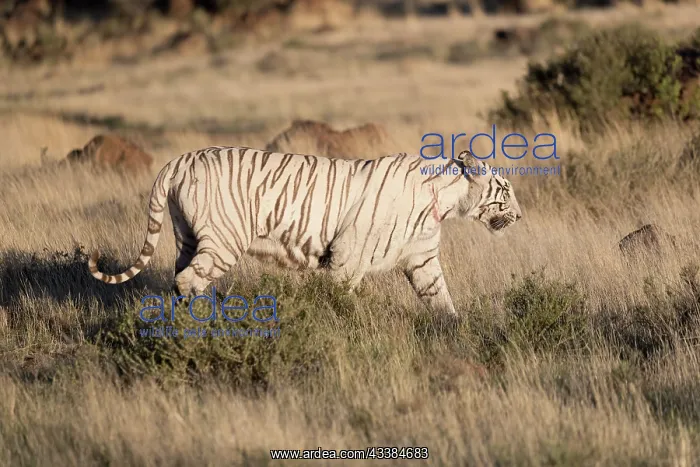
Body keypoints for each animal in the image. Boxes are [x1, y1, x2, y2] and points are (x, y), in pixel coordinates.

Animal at [88, 147, 522, 317]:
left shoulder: (422, 260)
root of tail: (178, 160)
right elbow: (340, 298)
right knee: (188, 280)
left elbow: (441, 298)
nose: (519, 216)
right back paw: (209, 321)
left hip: (188, 237)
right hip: (225, 240)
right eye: (505, 190)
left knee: (182, 276)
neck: (447, 204)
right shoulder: (348, 257)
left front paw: (454, 328)